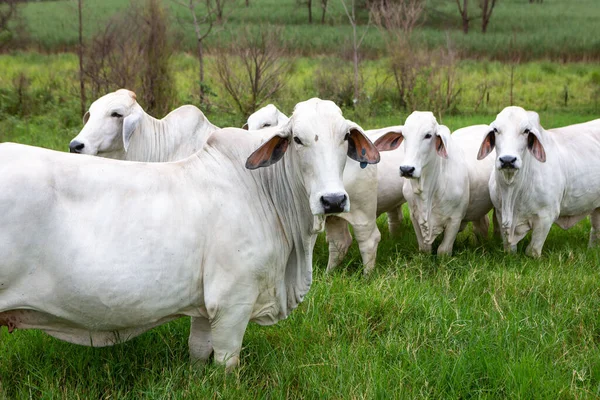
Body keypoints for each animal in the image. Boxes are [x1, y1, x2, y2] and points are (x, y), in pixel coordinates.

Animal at [245, 104, 408, 274]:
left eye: (266, 124)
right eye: (297, 139)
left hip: (362, 210)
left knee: (369, 240)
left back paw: (367, 275)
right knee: (343, 241)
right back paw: (329, 273)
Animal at [376, 111, 496, 255]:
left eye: (428, 135)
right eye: (404, 135)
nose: (406, 169)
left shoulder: (455, 219)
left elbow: (443, 250)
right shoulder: (415, 217)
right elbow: (424, 248)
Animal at [478, 106, 600, 256]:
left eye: (526, 130)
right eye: (496, 130)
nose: (507, 160)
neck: (512, 190)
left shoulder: (546, 217)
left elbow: (532, 250)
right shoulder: (501, 213)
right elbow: (509, 248)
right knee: (596, 230)